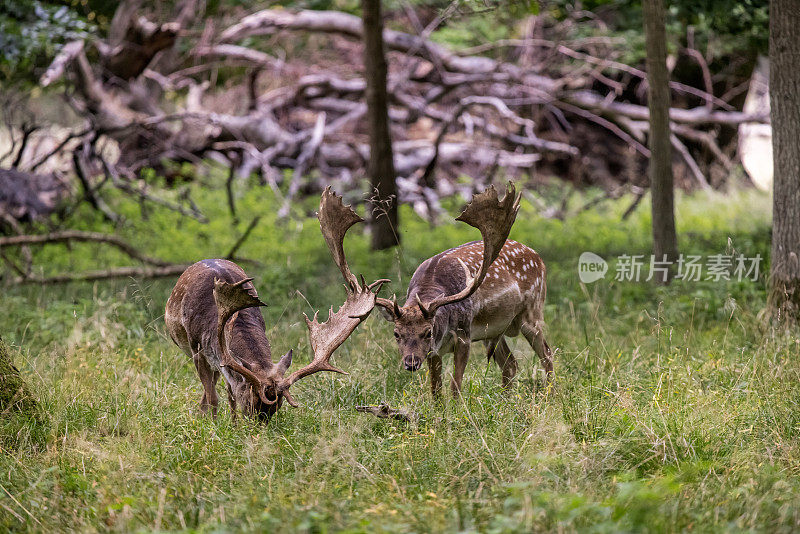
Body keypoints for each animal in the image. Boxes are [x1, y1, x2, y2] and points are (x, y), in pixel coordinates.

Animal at [166, 188, 388, 422]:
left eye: (276, 408)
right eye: (250, 403)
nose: (257, 426)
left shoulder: (223, 364)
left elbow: (228, 394)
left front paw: (231, 424)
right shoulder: (197, 349)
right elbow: (213, 399)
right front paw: (215, 425)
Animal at [374, 184, 552, 398]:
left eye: (427, 332)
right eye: (396, 333)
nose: (411, 363)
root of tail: (539, 258)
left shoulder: (464, 335)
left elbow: (455, 386)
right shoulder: (434, 351)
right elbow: (436, 390)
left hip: (532, 311)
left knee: (547, 354)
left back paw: (551, 395)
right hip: (494, 330)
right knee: (510, 364)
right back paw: (505, 400)